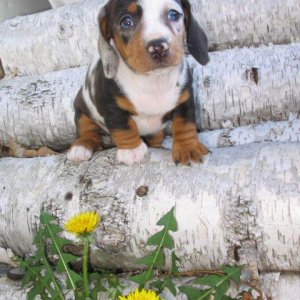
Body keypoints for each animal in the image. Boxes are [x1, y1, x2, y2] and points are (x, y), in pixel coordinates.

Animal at [67, 0, 209, 165]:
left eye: (173, 14)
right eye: (126, 22)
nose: (158, 47)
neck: (153, 81)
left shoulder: (185, 100)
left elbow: (185, 124)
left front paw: (188, 148)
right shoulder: (112, 107)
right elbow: (123, 126)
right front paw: (131, 150)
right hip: (82, 109)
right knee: (86, 130)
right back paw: (81, 147)